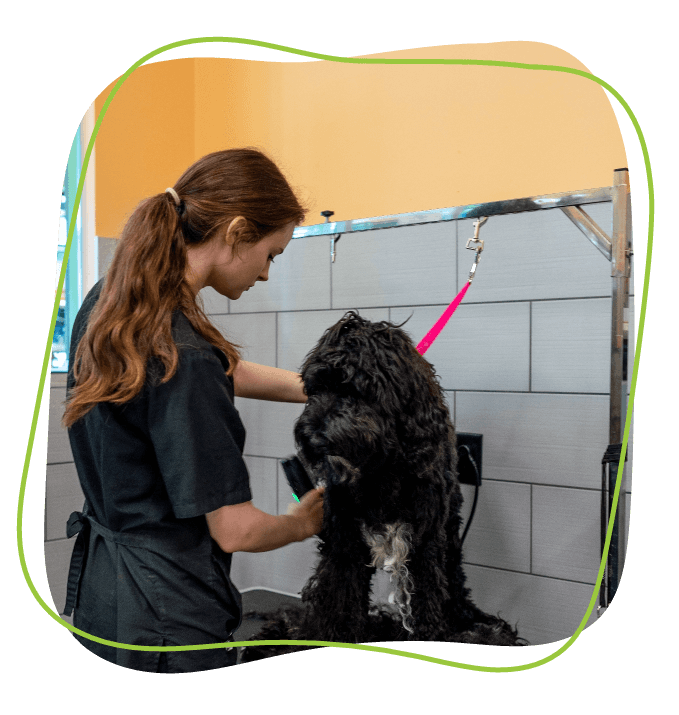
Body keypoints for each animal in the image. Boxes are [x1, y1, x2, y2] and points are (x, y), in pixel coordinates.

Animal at [240, 310, 532, 664]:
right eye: (313, 389)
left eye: (352, 387)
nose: (311, 434)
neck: (382, 469)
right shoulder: (345, 545)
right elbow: (340, 606)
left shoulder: (425, 544)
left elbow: (427, 605)